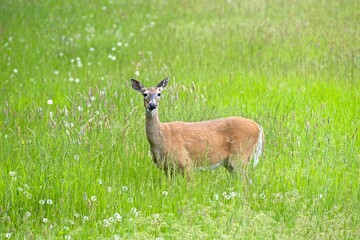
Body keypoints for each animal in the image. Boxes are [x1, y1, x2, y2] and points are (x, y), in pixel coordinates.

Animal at [131, 77, 262, 182]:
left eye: (159, 93)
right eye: (144, 94)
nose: (152, 105)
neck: (161, 137)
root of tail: (258, 127)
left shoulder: (186, 162)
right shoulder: (166, 168)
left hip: (240, 155)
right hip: (230, 163)